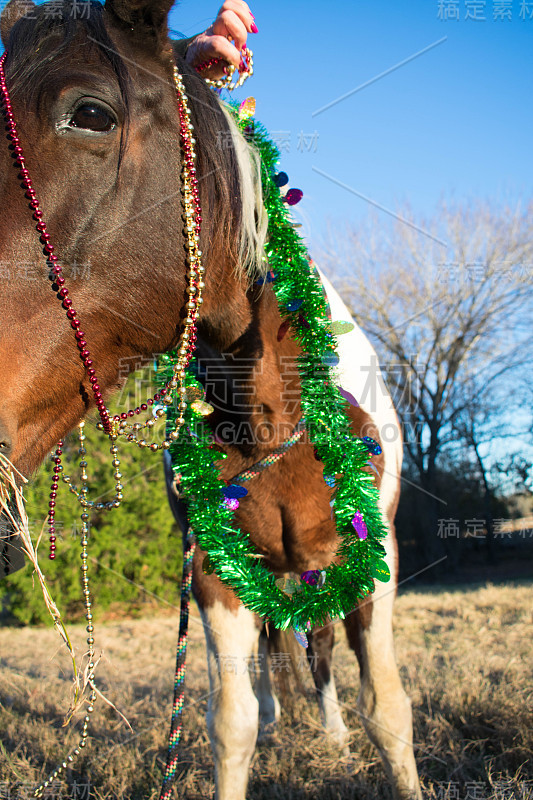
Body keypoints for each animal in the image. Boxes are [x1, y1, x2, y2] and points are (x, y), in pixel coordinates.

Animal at [0, 0, 422, 796]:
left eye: (90, 113)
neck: (274, 415)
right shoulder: (214, 570)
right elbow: (232, 721)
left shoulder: (370, 552)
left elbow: (387, 707)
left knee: (319, 646)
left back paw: (329, 729)